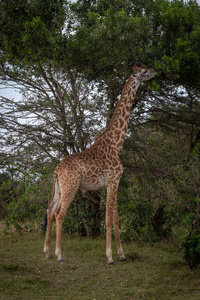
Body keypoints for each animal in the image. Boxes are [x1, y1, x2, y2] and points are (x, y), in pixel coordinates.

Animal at [43, 64, 156, 264]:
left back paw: (47, 251)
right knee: (59, 213)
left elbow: (117, 218)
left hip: (58, 187)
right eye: (143, 71)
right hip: (71, 186)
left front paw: (122, 254)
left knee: (50, 210)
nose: (155, 72)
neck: (116, 144)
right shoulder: (112, 181)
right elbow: (108, 219)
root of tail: (57, 169)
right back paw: (59, 254)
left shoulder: (114, 183)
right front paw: (110, 256)